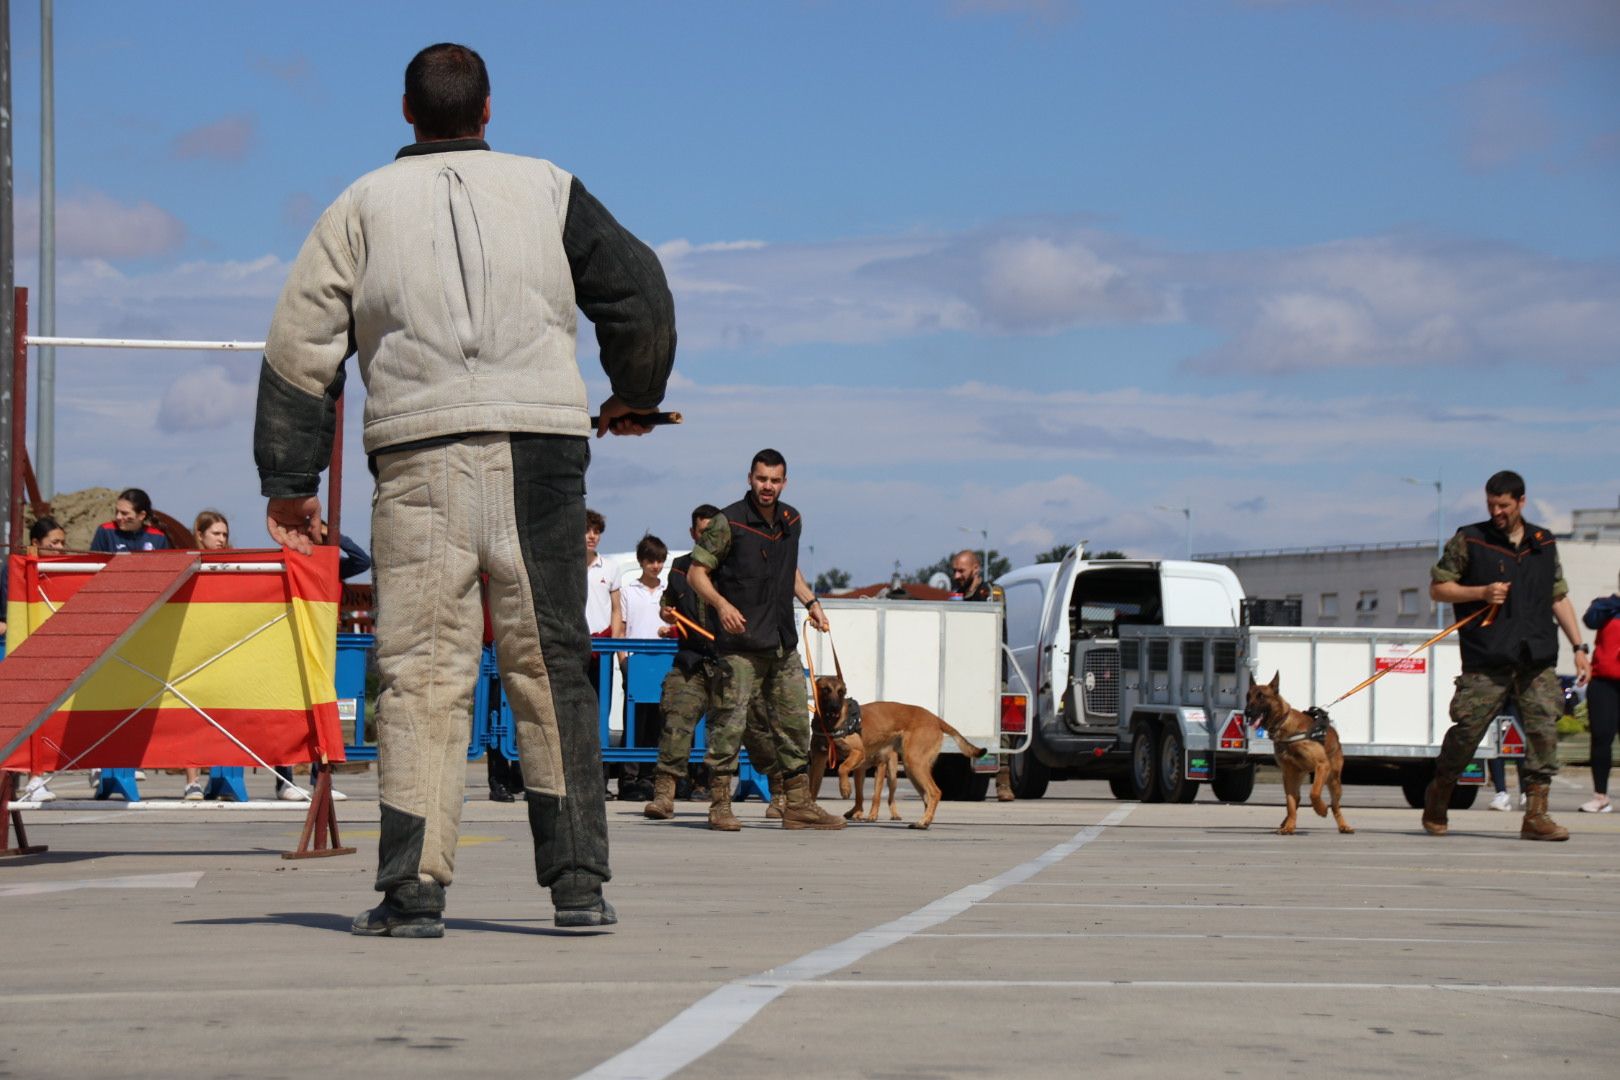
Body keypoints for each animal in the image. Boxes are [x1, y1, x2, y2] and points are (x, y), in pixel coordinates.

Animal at [816, 670, 978, 835]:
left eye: (841, 692)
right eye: (825, 690)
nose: (835, 707)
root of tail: (936, 719)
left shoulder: (863, 757)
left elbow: (844, 770)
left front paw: (846, 791)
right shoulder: (858, 768)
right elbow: (859, 795)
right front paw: (856, 811)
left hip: (909, 766)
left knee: (934, 792)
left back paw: (922, 821)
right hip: (912, 769)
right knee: (926, 797)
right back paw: (923, 822)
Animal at [1237, 676, 1354, 835]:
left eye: (1261, 697)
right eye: (1248, 696)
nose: (1247, 712)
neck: (1284, 723)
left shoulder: (1322, 766)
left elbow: (1314, 793)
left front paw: (1321, 809)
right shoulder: (1288, 772)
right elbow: (1291, 802)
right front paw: (1289, 826)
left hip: (1333, 779)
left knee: (1335, 805)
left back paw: (1343, 826)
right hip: (1293, 777)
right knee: (1295, 800)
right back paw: (1286, 824)